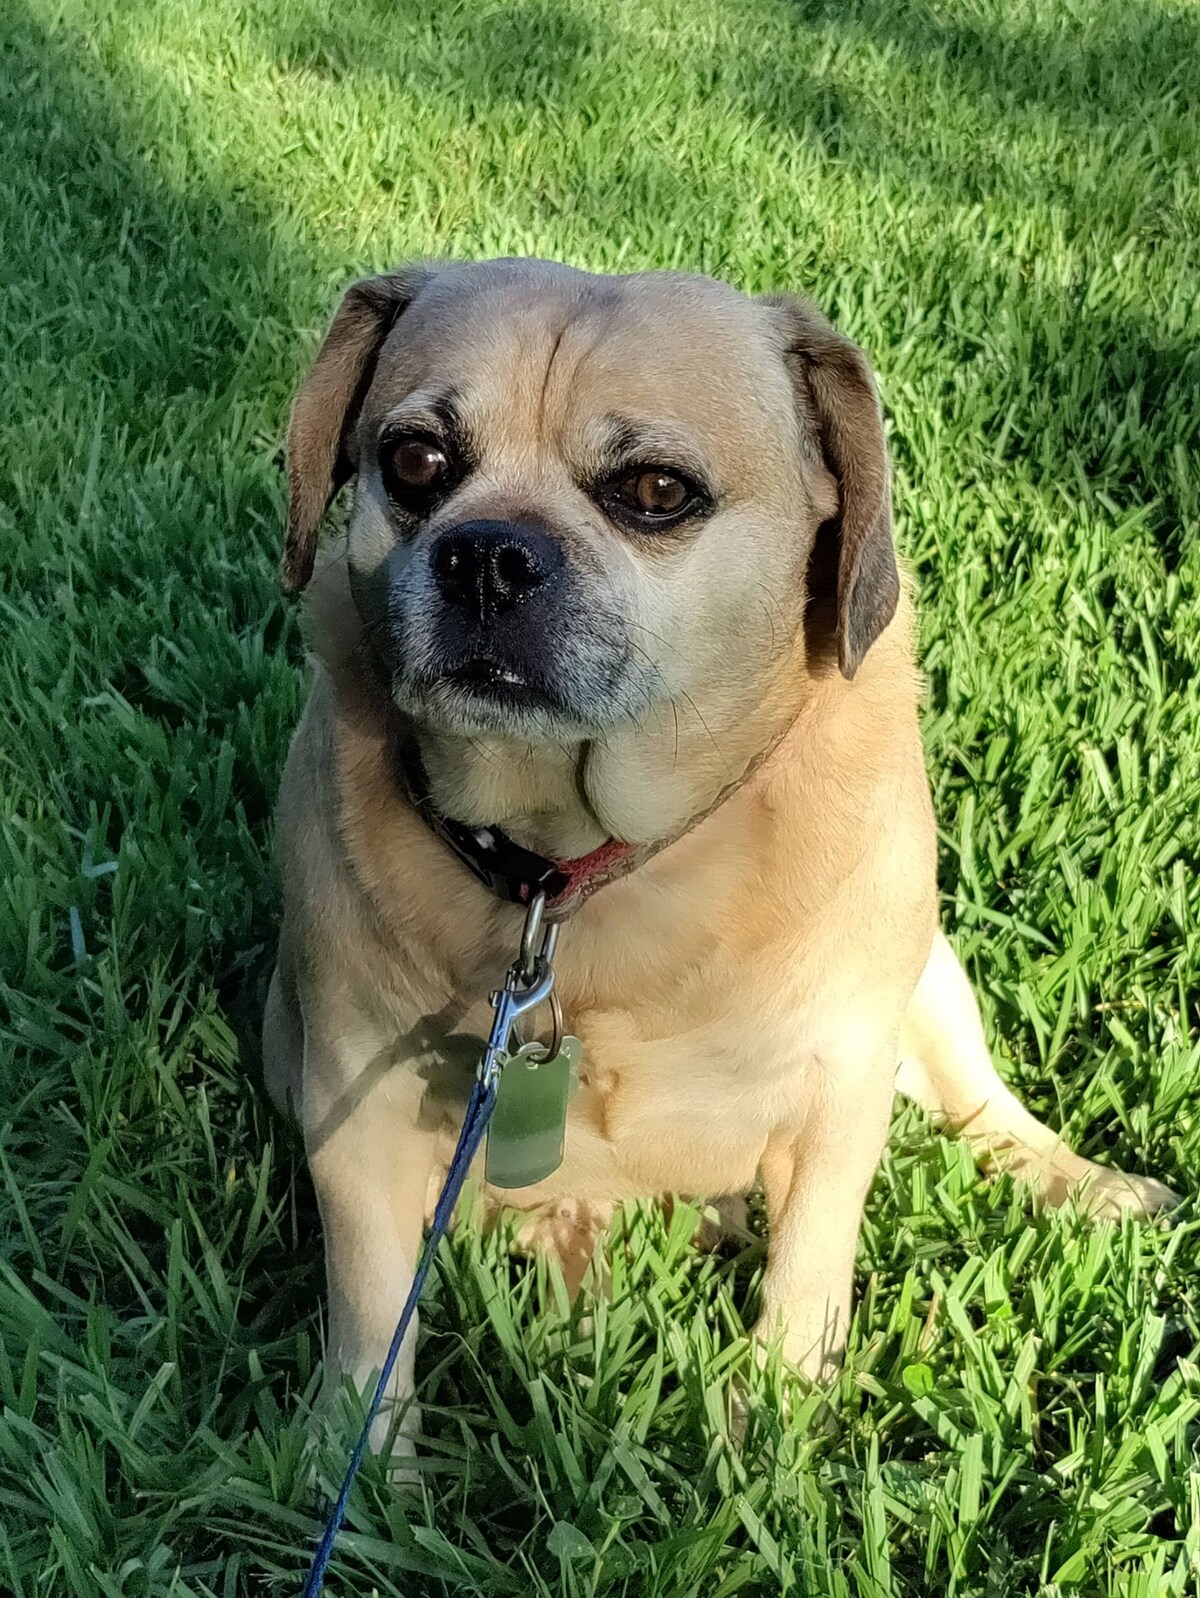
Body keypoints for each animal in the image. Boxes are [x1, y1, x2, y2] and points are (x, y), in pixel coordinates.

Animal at [260, 258, 1176, 1450]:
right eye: (416, 462)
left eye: (656, 491)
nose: (489, 555)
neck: (572, 872)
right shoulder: (353, 1111)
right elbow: (374, 1331)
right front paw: (364, 1473)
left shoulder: (842, 1085)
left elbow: (806, 1280)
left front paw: (769, 1445)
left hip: (933, 981)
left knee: (984, 1109)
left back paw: (1083, 1184)